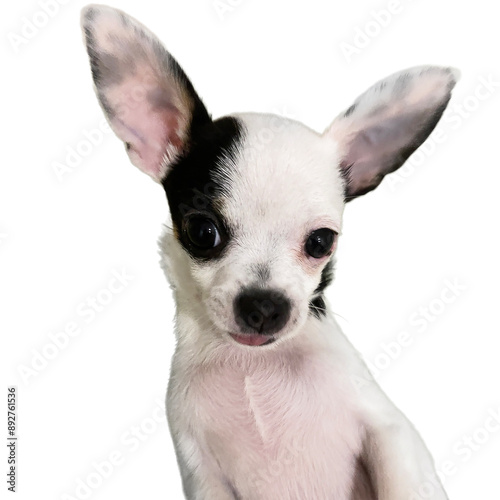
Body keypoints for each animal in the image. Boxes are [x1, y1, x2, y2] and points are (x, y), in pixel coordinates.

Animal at [81, 4, 458, 500]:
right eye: (202, 232)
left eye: (320, 242)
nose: (264, 306)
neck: (252, 367)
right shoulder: (201, 472)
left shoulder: (390, 431)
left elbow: (403, 480)